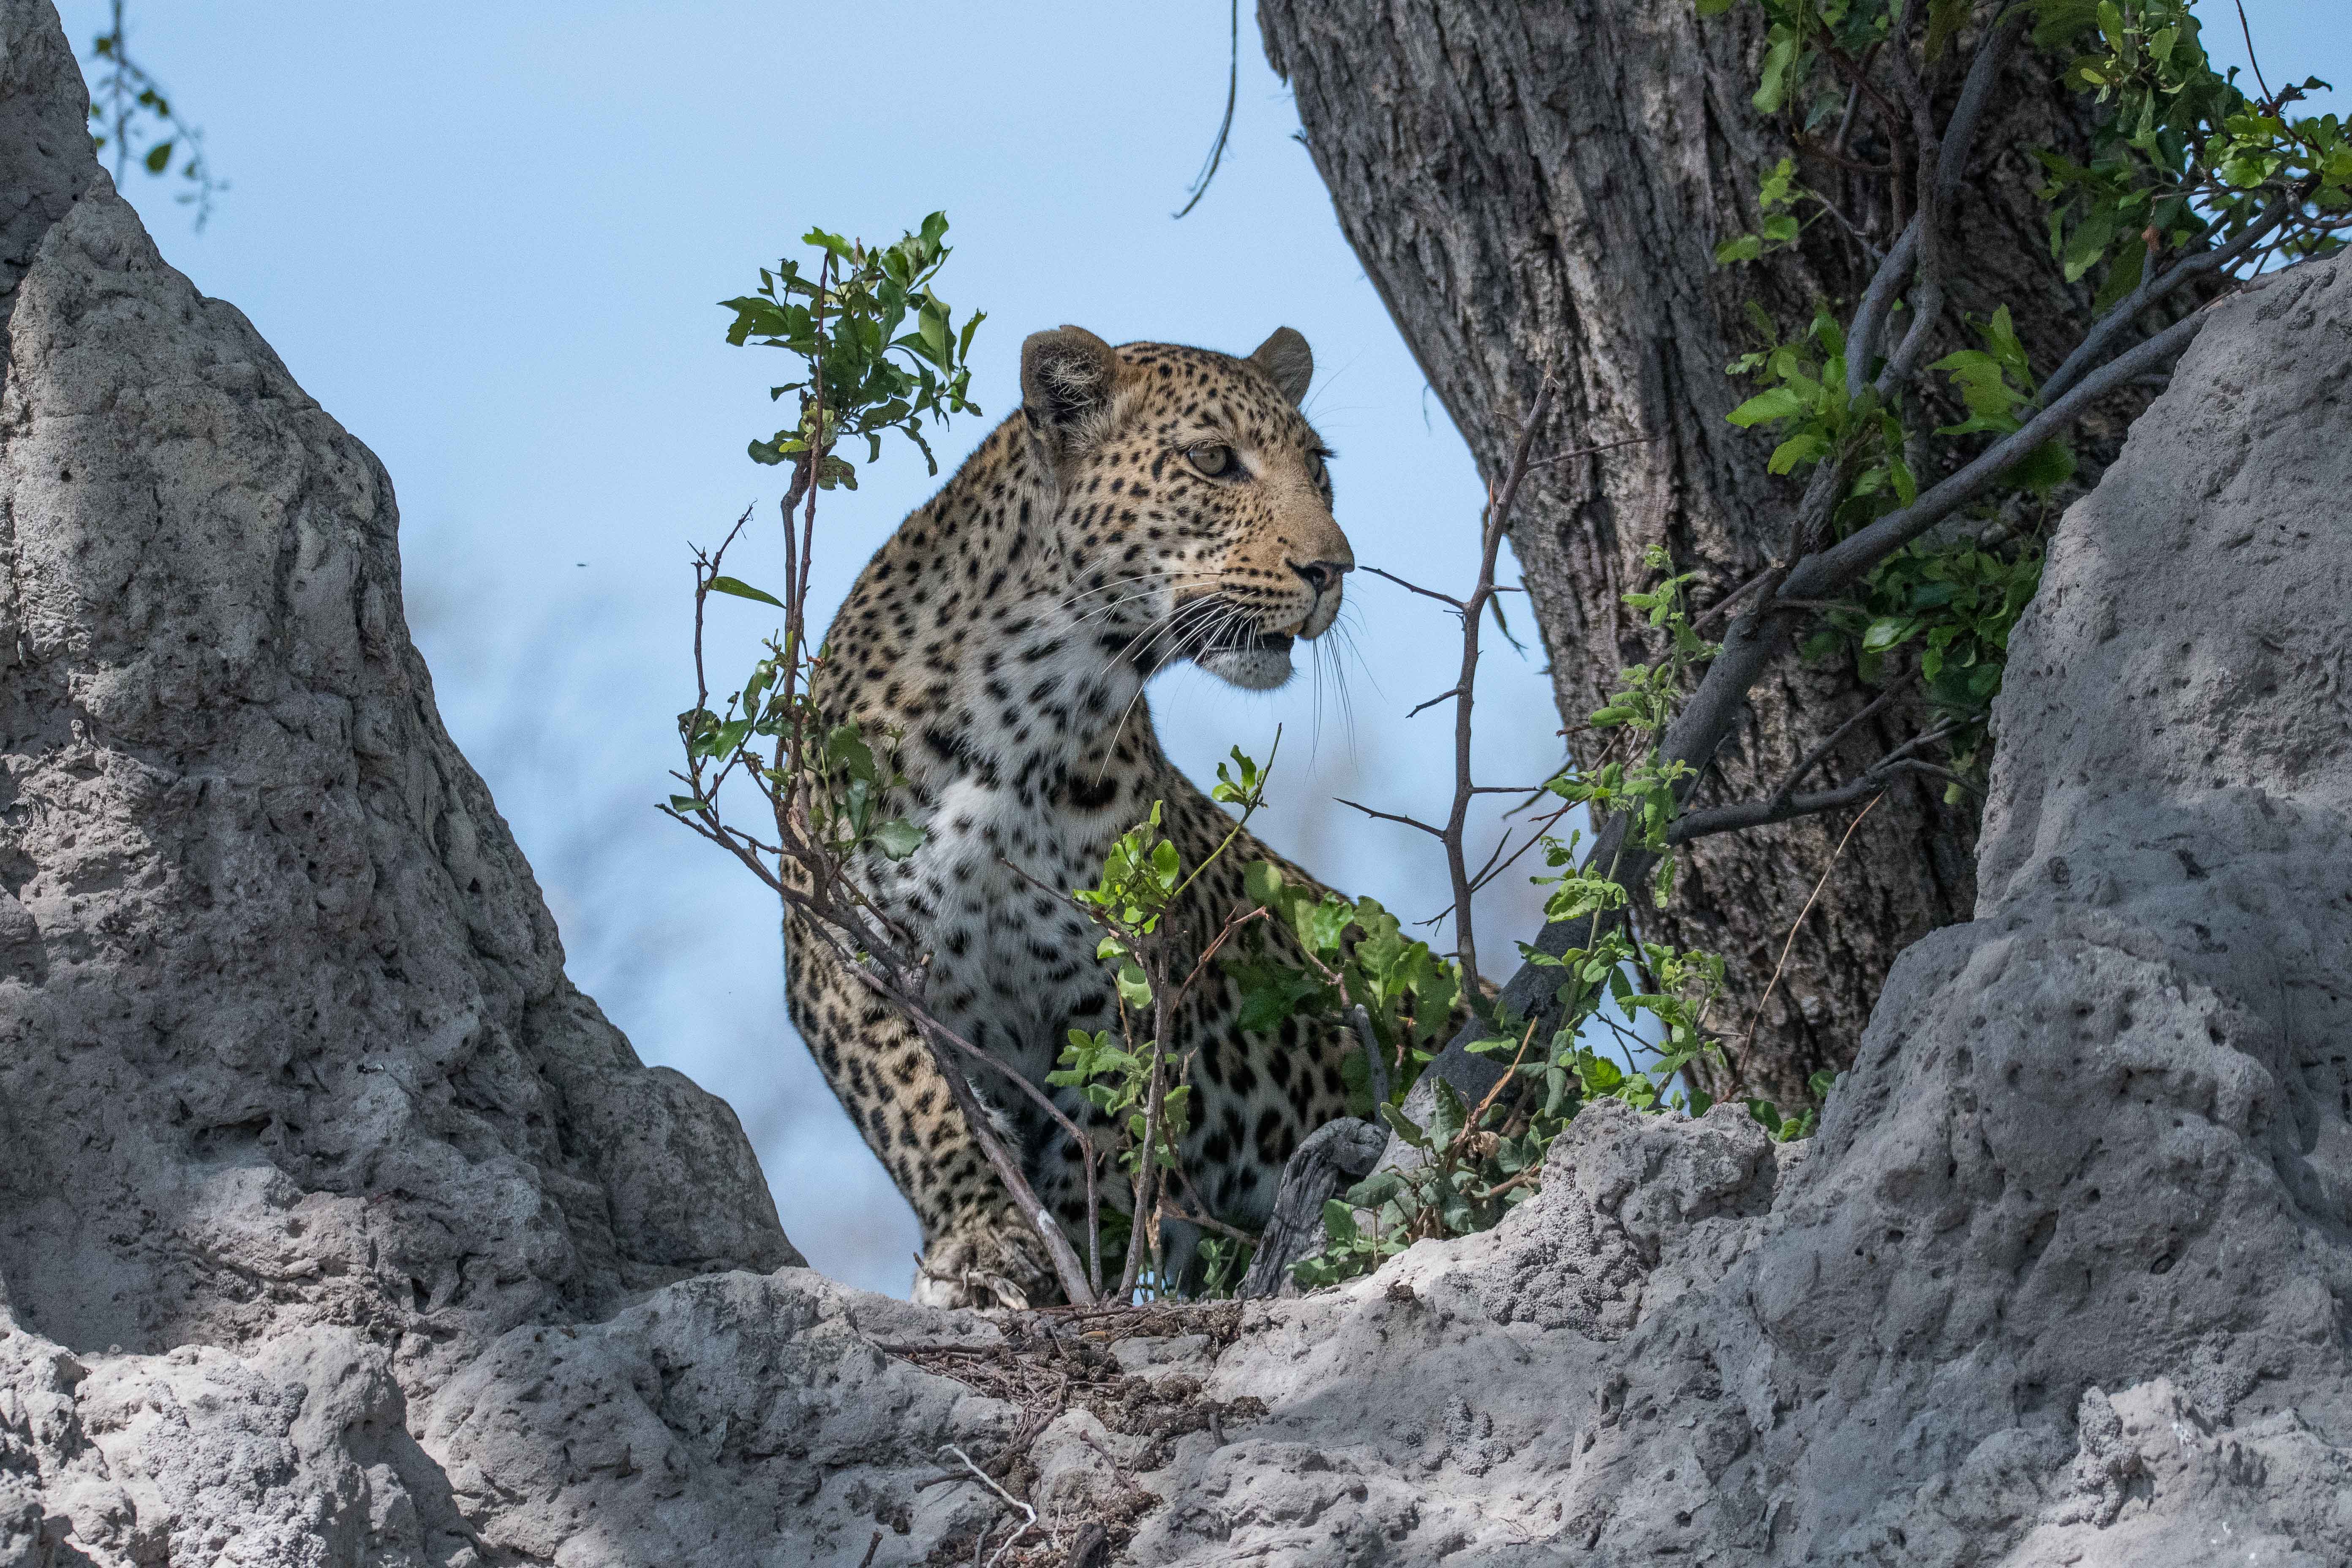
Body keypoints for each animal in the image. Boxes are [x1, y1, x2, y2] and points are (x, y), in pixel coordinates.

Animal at [781, 324, 1383, 1307]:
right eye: (1213, 460)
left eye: (1319, 468)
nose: (1333, 569)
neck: (1025, 710)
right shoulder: (841, 950)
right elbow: (918, 1098)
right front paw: (982, 1241)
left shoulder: (1116, 990)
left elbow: (1101, 1138)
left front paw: (1071, 1262)